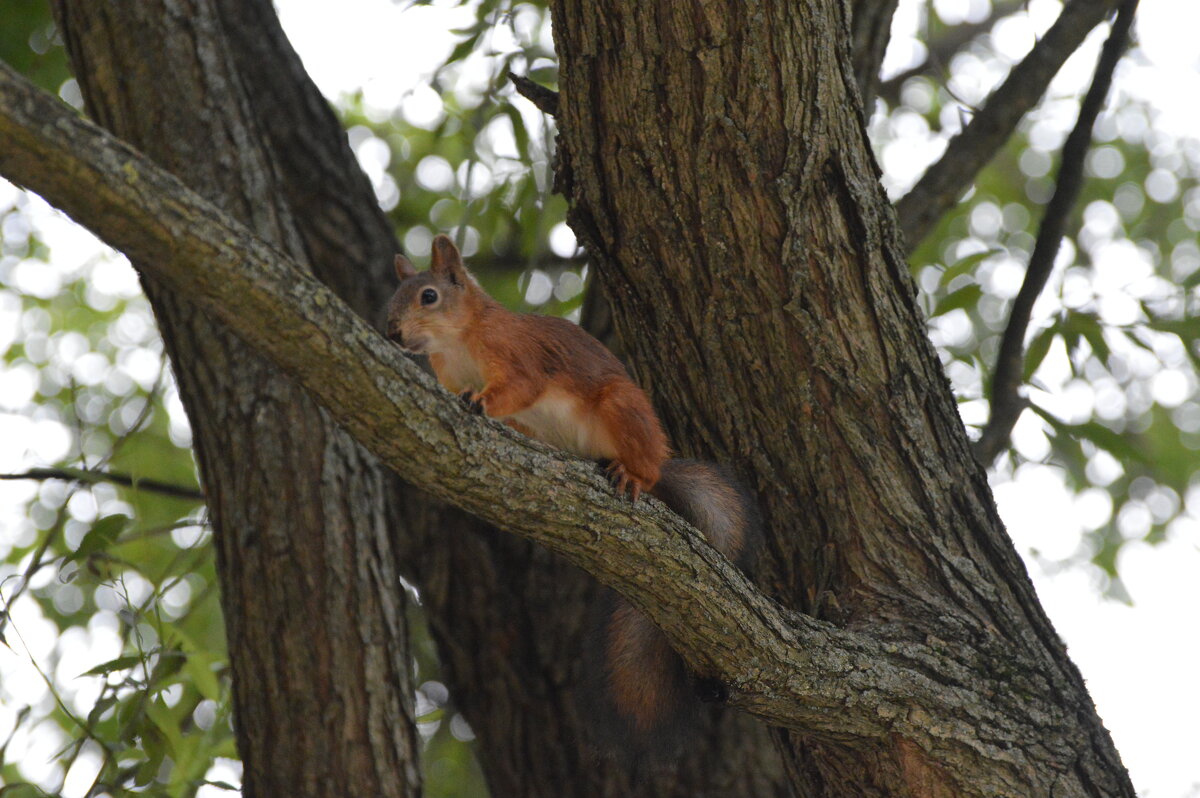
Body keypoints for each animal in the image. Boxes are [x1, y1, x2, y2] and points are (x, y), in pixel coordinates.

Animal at [386, 234, 758, 758]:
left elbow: (519, 386)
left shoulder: (517, 356)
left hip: (622, 408)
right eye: (395, 297)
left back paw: (632, 474)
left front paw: (483, 403)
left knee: (647, 467)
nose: (393, 332)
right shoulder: (448, 376)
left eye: (429, 296)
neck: (458, 340)